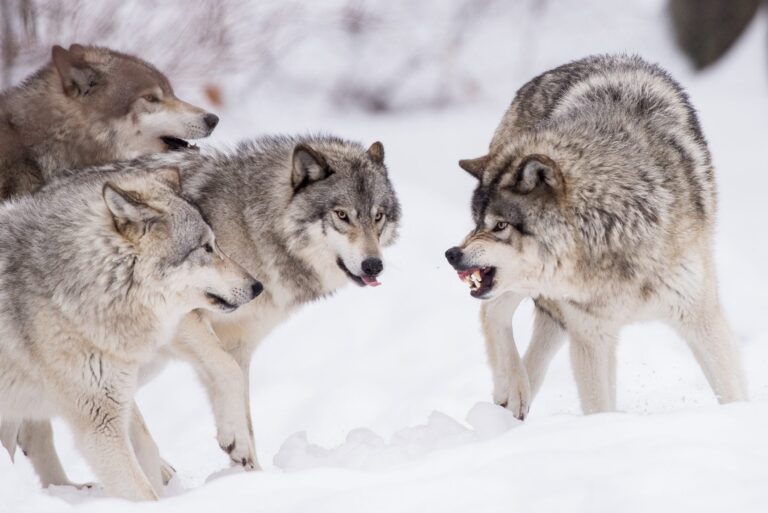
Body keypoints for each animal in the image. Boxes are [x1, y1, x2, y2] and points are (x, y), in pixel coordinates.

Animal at [0, 167, 261, 500]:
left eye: (215, 243)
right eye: (206, 247)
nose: (257, 286)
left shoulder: (115, 388)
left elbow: (148, 447)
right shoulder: (99, 423)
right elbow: (140, 488)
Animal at [445, 54, 747, 419]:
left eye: (500, 225)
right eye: (478, 221)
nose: (451, 254)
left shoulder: (700, 318)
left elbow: (732, 391)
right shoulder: (591, 336)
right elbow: (599, 408)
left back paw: (512, 400)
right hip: (535, 292)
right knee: (493, 311)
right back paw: (514, 390)